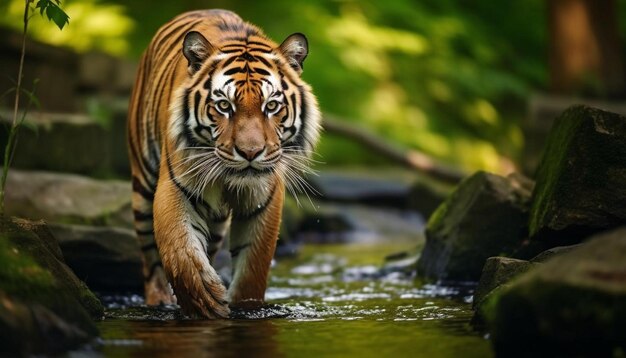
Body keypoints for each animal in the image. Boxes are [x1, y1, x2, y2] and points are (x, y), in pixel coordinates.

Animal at [127, 8, 322, 318]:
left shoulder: (264, 200)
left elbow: (252, 267)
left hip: (216, 221)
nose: (250, 152)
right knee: (151, 261)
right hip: (143, 185)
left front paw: (243, 306)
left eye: (271, 106)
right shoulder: (176, 187)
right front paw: (204, 299)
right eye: (223, 106)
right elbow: (180, 249)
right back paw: (159, 300)